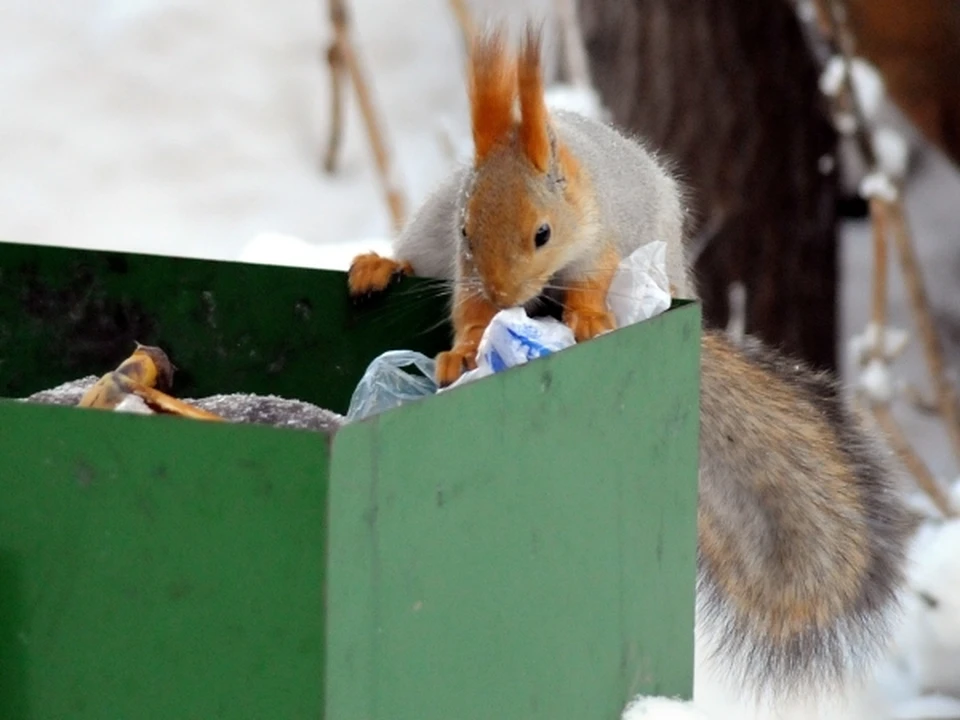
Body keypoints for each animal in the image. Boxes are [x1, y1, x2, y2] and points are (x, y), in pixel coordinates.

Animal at [344, 25, 908, 700]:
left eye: (541, 233)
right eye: (466, 230)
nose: (507, 294)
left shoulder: (601, 243)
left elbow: (592, 285)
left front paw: (588, 320)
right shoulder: (461, 265)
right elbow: (469, 310)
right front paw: (464, 349)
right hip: (425, 228)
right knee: (413, 257)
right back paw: (380, 264)